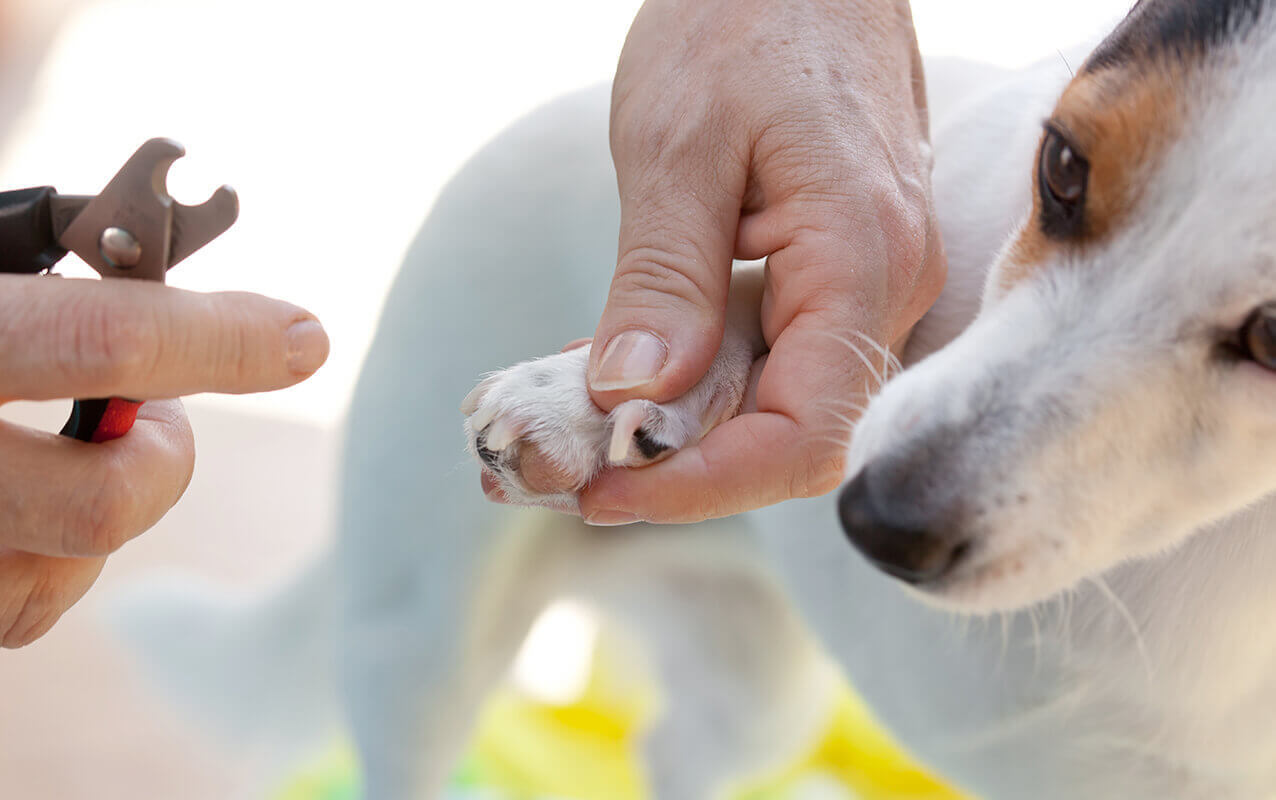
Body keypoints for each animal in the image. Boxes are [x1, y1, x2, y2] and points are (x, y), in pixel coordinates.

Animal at [112, 3, 1276, 796]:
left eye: (1271, 334)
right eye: (1064, 168)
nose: (873, 519)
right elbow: (763, 286)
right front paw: (594, 399)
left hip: (759, 694)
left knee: (673, 747)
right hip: (420, 645)